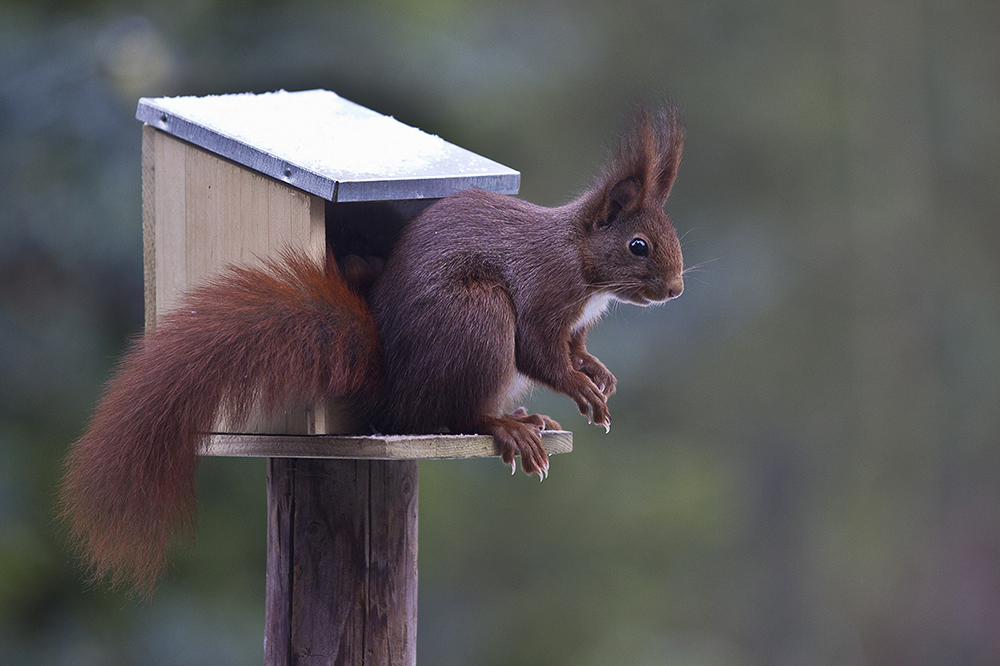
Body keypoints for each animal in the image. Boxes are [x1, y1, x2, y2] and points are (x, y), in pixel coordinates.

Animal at [58, 104, 688, 592]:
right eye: (638, 245)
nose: (676, 289)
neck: (582, 264)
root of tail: (393, 388)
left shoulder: (575, 324)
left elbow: (573, 349)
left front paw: (598, 373)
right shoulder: (543, 290)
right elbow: (539, 353)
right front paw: (583, 389)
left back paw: (522, 416)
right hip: (476, 318)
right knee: (452, 414)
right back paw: (504, 425)